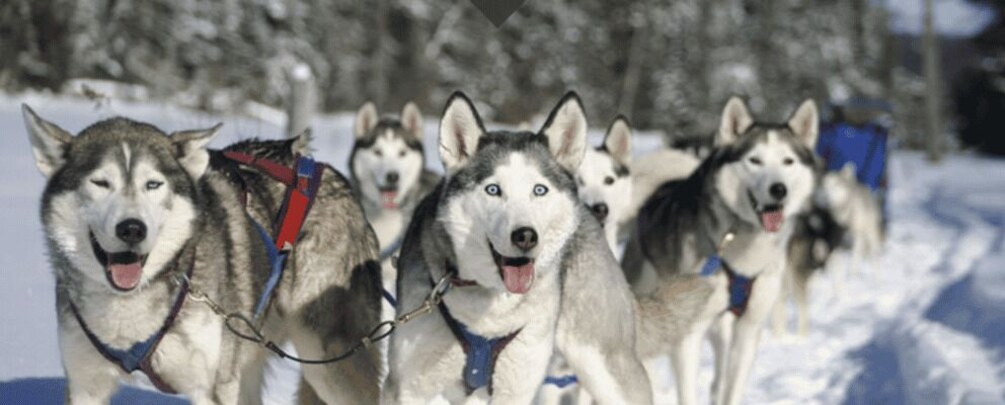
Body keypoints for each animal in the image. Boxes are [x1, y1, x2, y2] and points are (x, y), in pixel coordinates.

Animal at [27, 108, 381, 405]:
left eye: (153, 184)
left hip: (327, 364)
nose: (132, 229)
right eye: (100, 182)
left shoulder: (210, 388)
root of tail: (317, 168)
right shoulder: (86, 385)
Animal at [623, 97, 820, 405]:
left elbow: (732, 389)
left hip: (722, 333)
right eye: (755, 160)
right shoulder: (689, 333)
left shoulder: (749, 329)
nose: (779, 189)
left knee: (717, 382)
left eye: (788, 161)